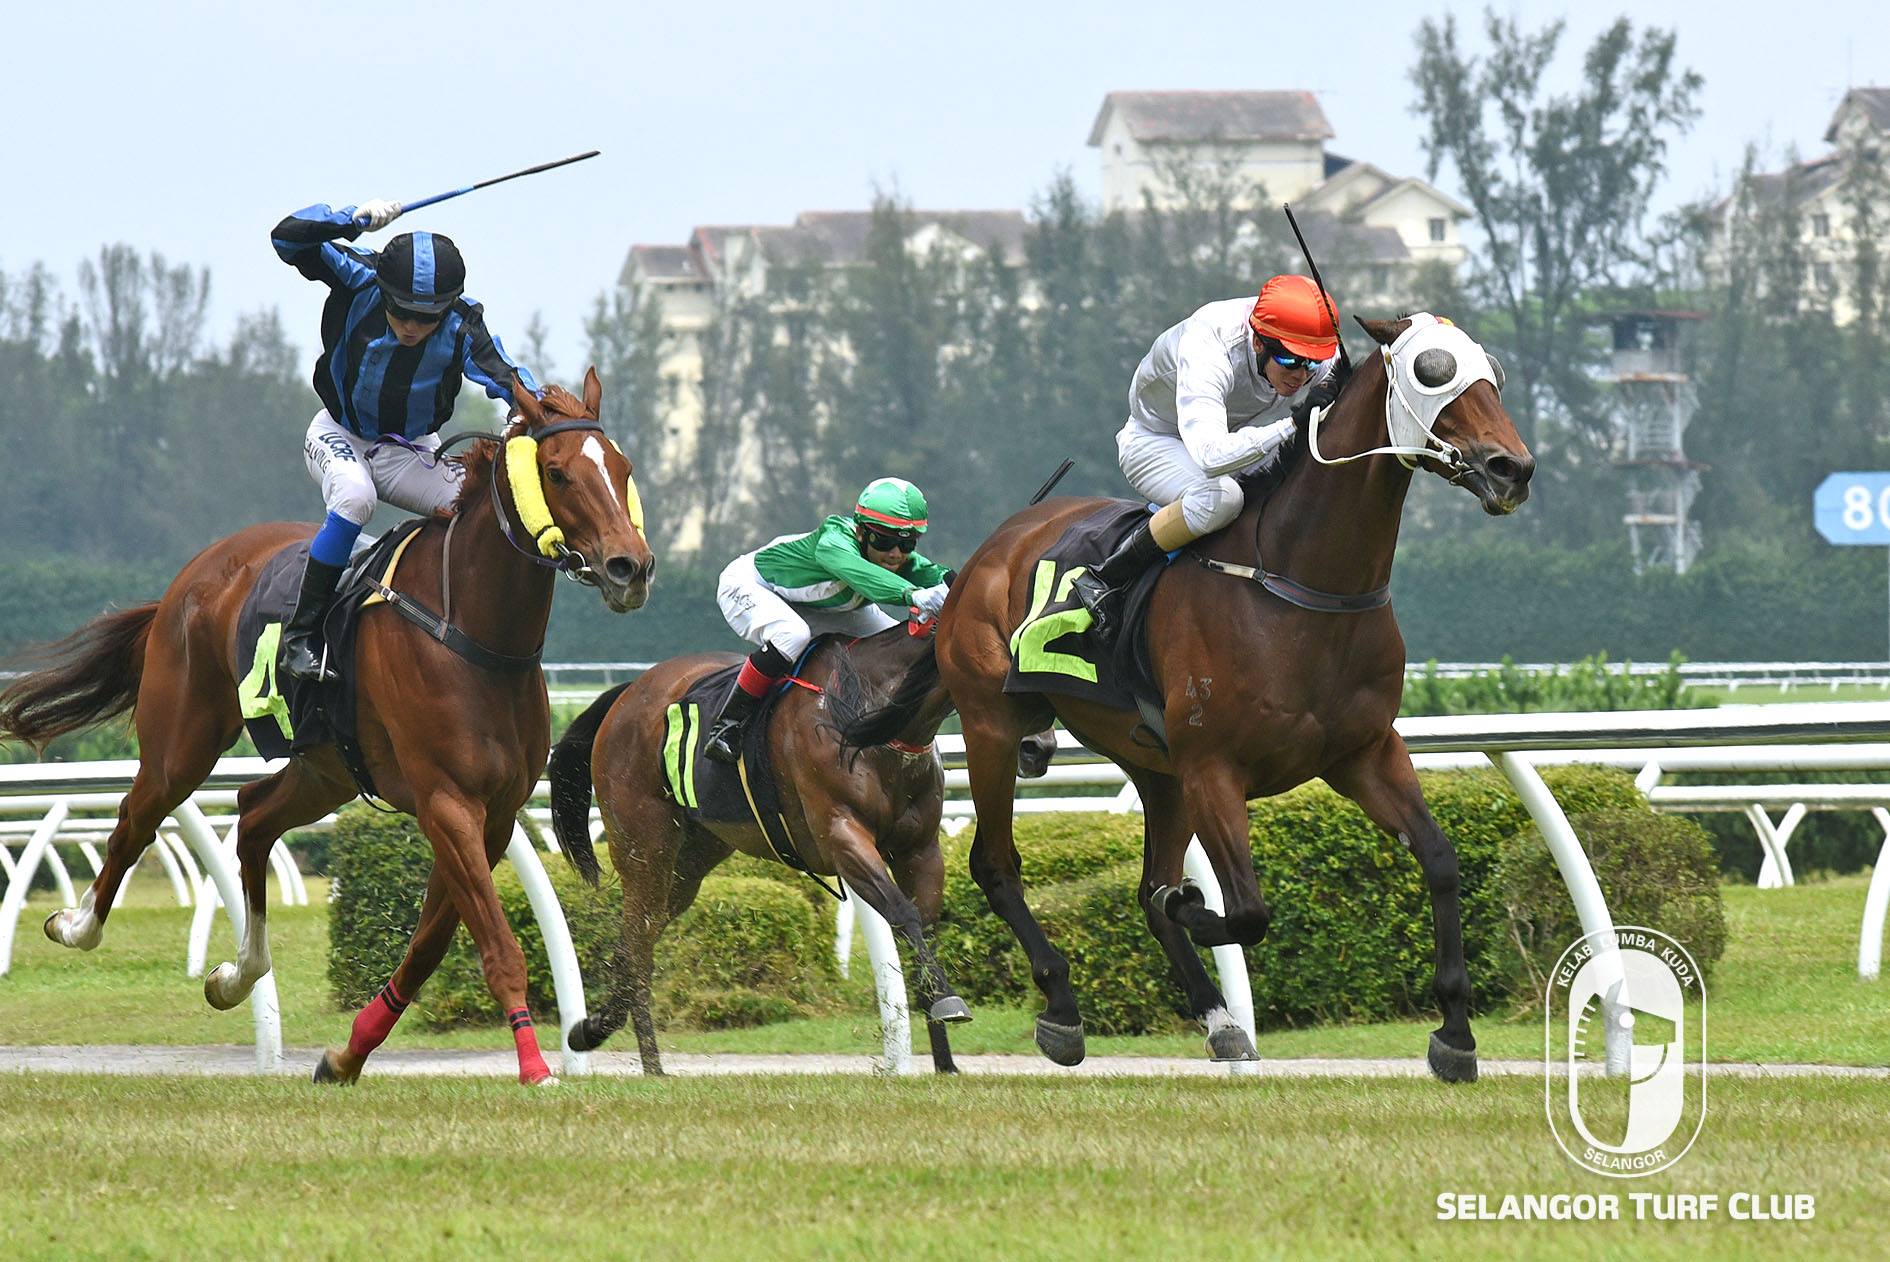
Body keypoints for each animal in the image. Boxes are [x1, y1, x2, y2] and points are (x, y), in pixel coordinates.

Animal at [0, 366, 653, 1088]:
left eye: (621, 467)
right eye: (558, 472)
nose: (631, 566)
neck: (475, 632)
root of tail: (191, 576)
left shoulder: (495, 815)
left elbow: (430, 947)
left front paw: (347, 1055)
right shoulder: (447, 803)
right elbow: (499, 946)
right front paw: (535, 1067)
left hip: (326, 770)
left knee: (253, 814)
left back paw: (236, 975)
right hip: (182, 739)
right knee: (136, 818)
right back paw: (77, 926)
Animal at [540, 619, 967, 1073]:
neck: (869, 717)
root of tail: (628, 692)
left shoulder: (920, 850)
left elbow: (925, 931)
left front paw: (945, 1061)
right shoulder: (843, 836)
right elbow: (904, 916)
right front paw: (950, 1002)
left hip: (691, 860)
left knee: (635, 943)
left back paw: (604, 1034)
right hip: (644, 847)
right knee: (636, 943)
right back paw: (638, 1057)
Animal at [839, 317, 1534, 1088]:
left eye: (1493, 373)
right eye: (1433, 371)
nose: (1512, 468)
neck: (1298, 582)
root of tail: (987, 554)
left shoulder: (1363, 751)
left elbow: (1439, 858)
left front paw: (1456, 1033)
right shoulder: (1213, 767)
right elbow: (1247, 911)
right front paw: (1191, 908)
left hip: (1156, 770)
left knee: (1145, 883)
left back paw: (1218, 1019)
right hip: (995, 724)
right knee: (997, 864)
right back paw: (1062, 1008)